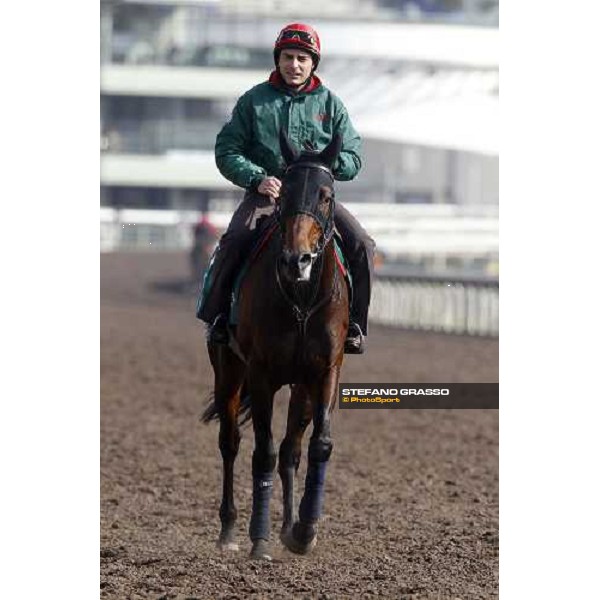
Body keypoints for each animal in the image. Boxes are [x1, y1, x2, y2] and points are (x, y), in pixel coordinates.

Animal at [203, 130, 350, 556]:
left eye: (326, 195)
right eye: (283, 193)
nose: (296, 260)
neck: (300, 299)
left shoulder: (325, 371)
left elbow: (317, 445)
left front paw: (303, 530)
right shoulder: (262, 373)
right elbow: (262, 453)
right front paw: (260, 539)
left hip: (300, 384)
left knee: (291, 450)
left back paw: (288, 526)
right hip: (228, 371)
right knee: (231, 442)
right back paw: (229, 531)